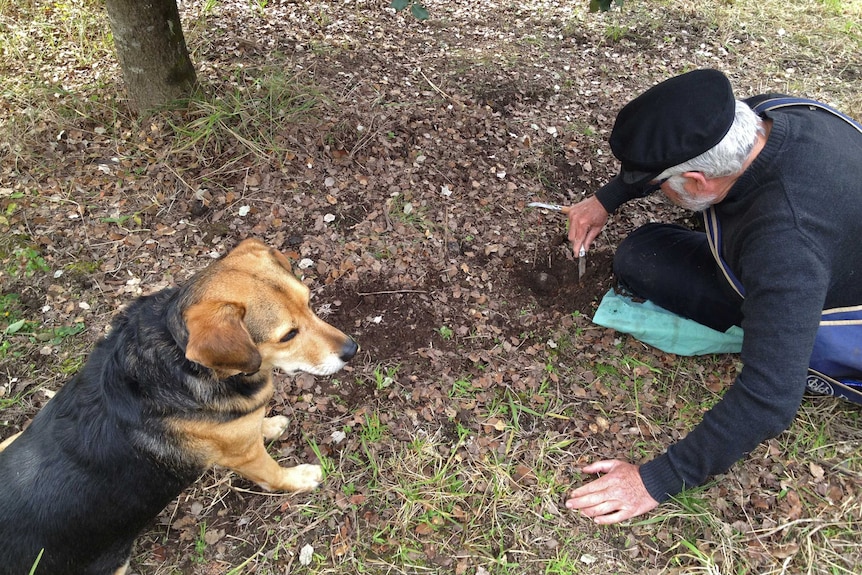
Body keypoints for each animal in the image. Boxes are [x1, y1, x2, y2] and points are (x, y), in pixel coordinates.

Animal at [0, 238, 358, 575]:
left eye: (309, 301)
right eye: (288, 335)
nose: (351, 349)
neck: (180, 357)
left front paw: (268, 425)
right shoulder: (246, 457)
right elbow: (272, 474)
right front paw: (300, 478)